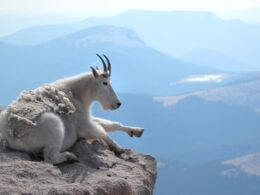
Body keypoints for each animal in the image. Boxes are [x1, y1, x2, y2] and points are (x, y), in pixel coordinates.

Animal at [0, 54, 144, 165]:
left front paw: (137, 131)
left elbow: (111, 124)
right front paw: (118, 148)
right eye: (105, 83)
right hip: (54, 124)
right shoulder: (84, 125)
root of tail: (10, 134)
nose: (118, 104)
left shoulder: (87, 118)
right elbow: (102, 132)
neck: (78, 94)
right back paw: (70, 157)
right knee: (49, 158)